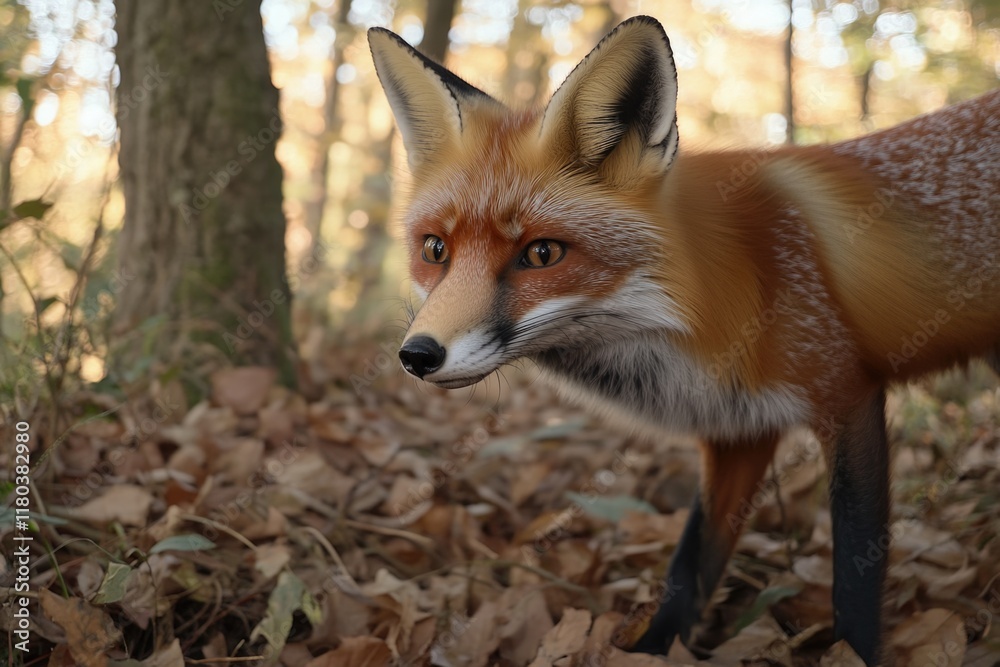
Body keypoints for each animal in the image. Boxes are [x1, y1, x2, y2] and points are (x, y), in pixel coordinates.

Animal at [368, 15, 1000, 666]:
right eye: (434, 250)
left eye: (541, 254)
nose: (417, 355)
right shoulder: (738, 430)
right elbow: (690, 566)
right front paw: (654, 647)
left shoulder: (847, 396)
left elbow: (855, 572)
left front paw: (856, 651)